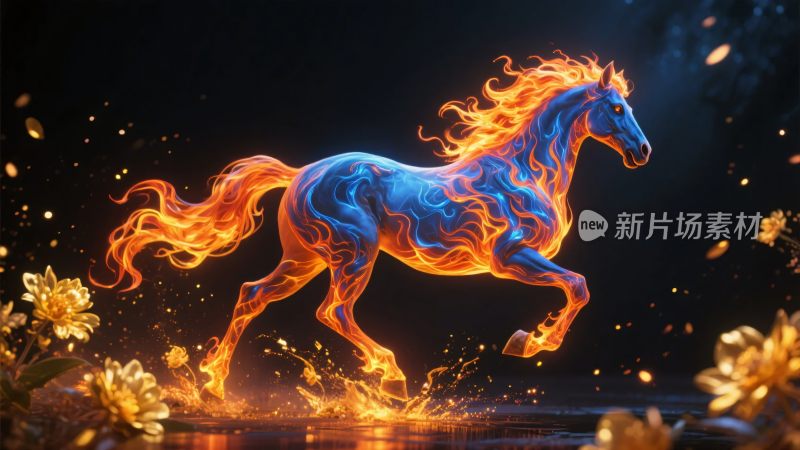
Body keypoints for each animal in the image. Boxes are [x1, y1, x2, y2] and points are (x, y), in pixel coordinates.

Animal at [93, 53, 651, 401]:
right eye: (616, 108)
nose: (643, 151)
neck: (525, 171)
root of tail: (301, 174)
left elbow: (576, 287)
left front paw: (527, 340)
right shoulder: (509, 257)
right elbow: (577, 286)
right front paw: (528, 342)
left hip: (304, 258)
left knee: (254, 294)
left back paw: (214, 387)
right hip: (353, 253)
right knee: (333, 311)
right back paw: (393, 379)